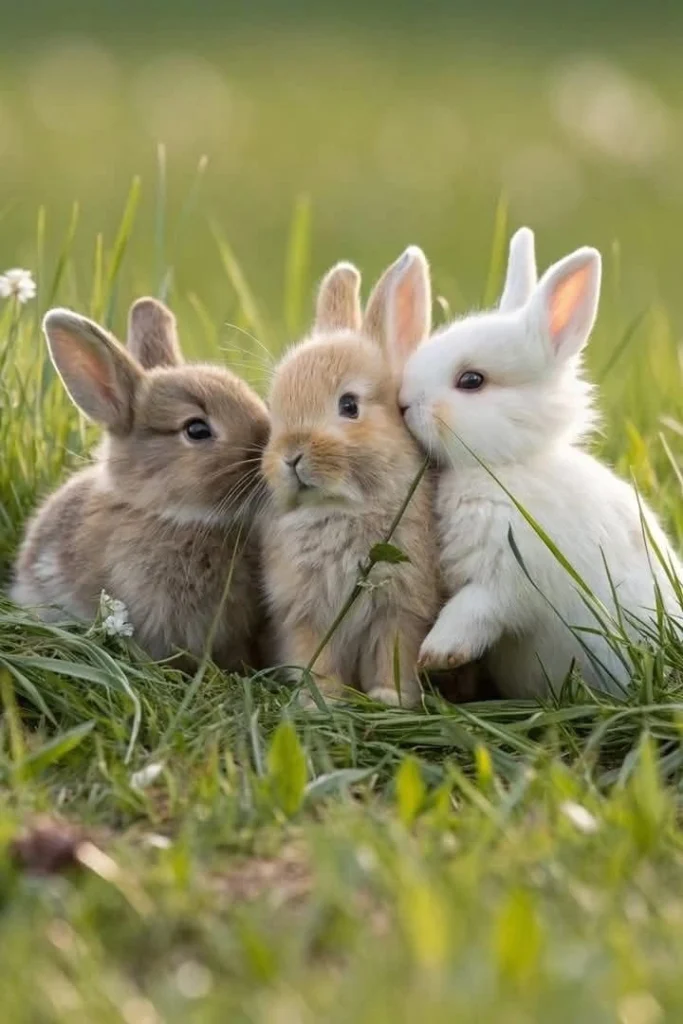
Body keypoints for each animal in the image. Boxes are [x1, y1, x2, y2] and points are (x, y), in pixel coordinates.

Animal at [261, 249, 441, 707]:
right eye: (274, 408)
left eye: (349, 405)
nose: (291, 455)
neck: (342, 507)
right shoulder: (304, 612)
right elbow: (315, 658)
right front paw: (319, 701)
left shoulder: (400, 609)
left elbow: (393, 653)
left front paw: (390, 698)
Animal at [399, 227, 682, 699]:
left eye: (471, 381)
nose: (403, 403)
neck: (505, 467)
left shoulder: (511, 576)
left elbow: (475, 608)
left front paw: (437, 652)